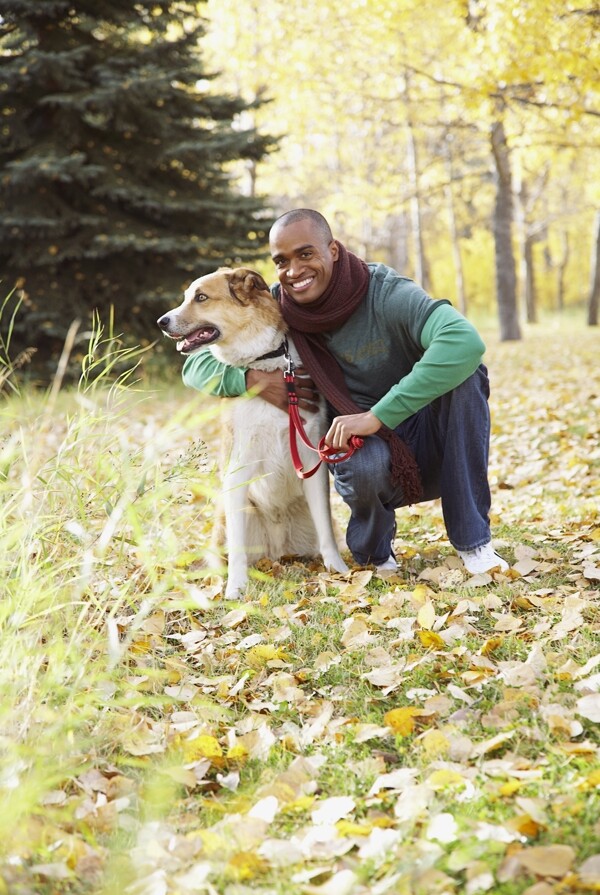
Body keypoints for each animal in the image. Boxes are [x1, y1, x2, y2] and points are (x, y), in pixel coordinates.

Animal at [157, 268, 350, 600]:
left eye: (201, 297)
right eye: (186, 297)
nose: (161, 322)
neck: (264, 360)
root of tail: (276, 551)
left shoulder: (312, 459)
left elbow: (326, 530)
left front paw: (337, 569)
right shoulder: (238, 466)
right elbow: (237, 549)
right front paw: (236, 588)